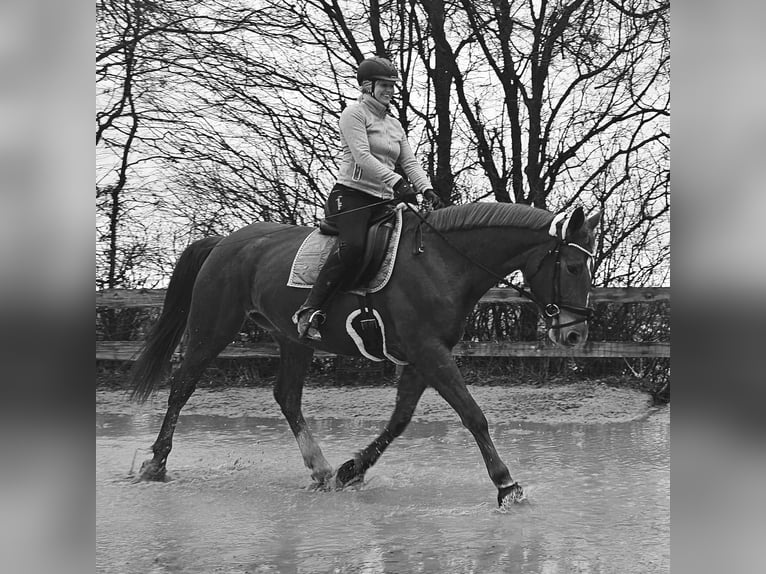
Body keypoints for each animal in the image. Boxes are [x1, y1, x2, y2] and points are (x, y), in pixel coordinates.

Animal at [130, 202, 600, 508]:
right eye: (573, 267)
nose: (575, 333)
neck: (443, 264)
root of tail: (226, 241)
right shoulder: (429, 352)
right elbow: (473, 416)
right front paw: (506, 485)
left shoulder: (422, 357)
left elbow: (400, 419)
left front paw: (351, 469)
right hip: (212, 328)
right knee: (182, 387)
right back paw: (156, 464)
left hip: (293, 339)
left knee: (287, 397)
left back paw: (320, 469)